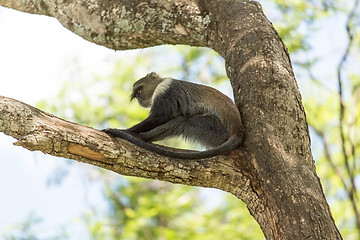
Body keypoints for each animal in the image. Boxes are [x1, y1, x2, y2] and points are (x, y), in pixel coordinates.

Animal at [102, 73, 246, 159]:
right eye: (137, 95)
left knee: (184, 121)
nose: (139, 100)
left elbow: (158, 117)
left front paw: (126, 131)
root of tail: (237, 129)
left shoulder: (165, 91)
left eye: (140, 91)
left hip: (216, 130)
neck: (159, 83)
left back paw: (141, 137)